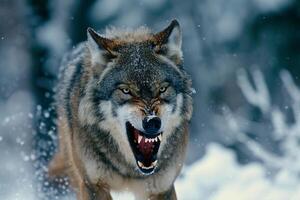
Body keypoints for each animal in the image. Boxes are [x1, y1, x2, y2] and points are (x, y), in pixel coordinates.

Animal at [48, 19, 193, 200]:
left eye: (162, 89)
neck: (131, 170)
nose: (152, 122)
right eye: (126, 90)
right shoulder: (93, 185)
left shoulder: (161, 188)